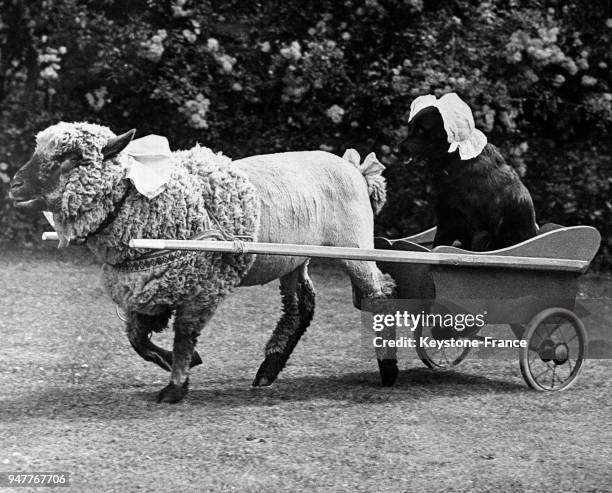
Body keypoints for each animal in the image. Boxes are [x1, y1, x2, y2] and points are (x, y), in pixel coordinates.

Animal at [9, 121, 396, 402]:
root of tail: (355, 169)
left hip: (354, 247)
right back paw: (267, 370)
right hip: (291, 259)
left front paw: (175, 386)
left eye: (72, 157)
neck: (147, 201)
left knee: (378, 295)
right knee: (301, 306)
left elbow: (184, 335)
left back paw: (388, 369)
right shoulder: (147, 285)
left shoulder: (200, 284)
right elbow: (136, 339)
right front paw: (175, 362)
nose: (14, 184)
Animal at [402, 104, 536, 250]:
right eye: (410, 128)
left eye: (421, 130)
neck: (456, 162)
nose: (400, 149)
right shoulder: (446, 222)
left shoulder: (480, 233)